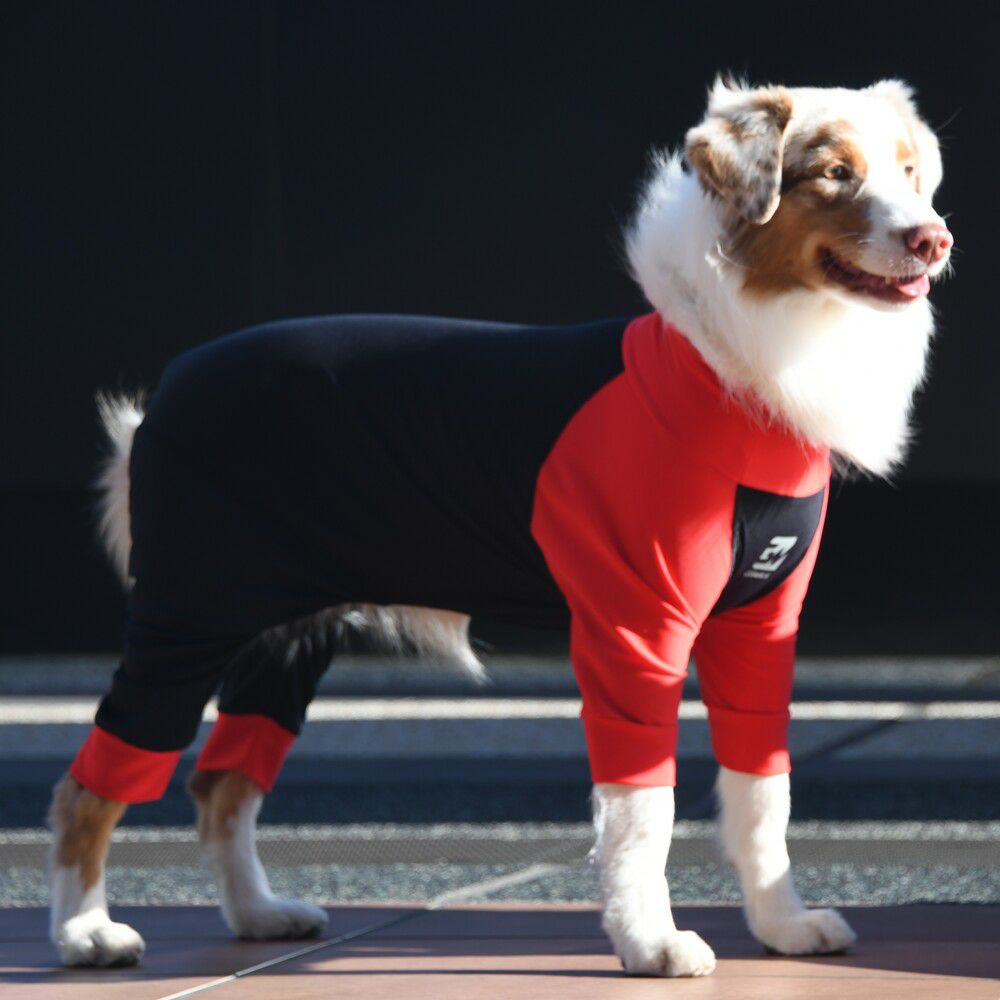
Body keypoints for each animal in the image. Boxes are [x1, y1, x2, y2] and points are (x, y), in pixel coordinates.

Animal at [49, 78, 952, 976]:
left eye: (911, 172)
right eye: (834, 173)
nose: (933, 237)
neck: (727, 367)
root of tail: (168, 392)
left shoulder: (760, 629)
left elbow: (764, 792)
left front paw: (782, 925)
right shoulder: (637, 630)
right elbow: (642, 810)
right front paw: (650, 942)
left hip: (287, 636)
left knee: (223, 783)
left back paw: (257, 913)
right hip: (188, 616)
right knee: (94, 781)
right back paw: (84, 931)